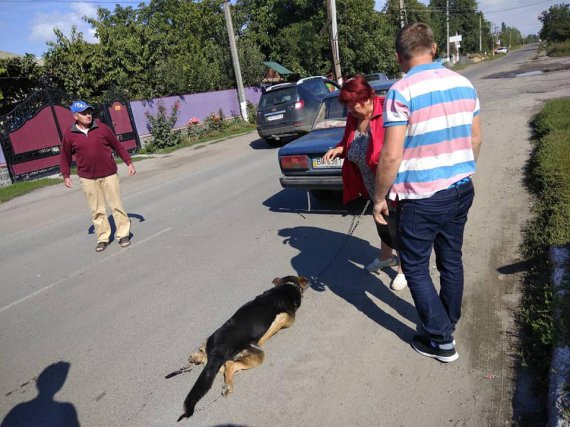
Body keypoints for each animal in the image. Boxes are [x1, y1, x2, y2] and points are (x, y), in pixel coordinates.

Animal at [175, 276, 308, 422]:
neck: (286, 287)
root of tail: (216, 351)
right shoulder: (287, 319)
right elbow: (278, 323)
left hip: (214, 341)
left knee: (214, 356)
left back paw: (198, 355)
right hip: (257, 355)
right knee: (230, 364)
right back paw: (227, 386)